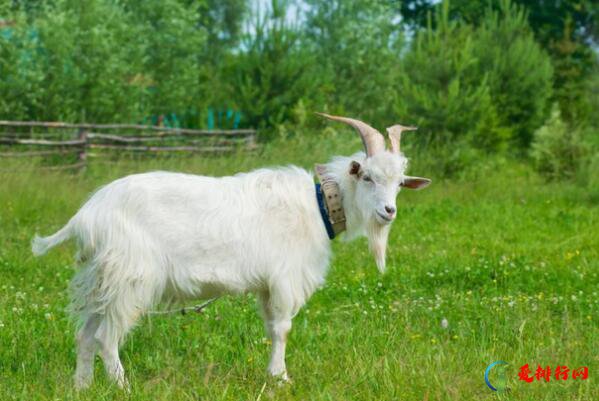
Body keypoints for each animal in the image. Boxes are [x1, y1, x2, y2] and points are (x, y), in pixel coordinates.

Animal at [31, 112, 432, 388]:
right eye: (366, 176)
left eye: (399, 183)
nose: (389, 211)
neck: (318, 205)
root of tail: (86, 216)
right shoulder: (285, 278)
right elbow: (283, 328)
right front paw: (281, 379)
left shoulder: (267, 285)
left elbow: (271, 328)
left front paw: (272, 375)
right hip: (130, 276)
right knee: (106, 337)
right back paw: (122, 386)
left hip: (102, 277)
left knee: (85, 335)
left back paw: (82, 387)